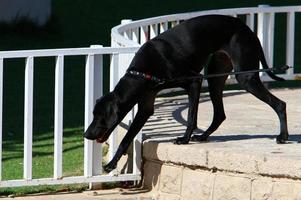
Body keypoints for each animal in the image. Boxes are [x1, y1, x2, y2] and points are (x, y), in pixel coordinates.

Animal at [83, 15, 288, 172]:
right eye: (94, 114)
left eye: (99, 116)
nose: (86, 134)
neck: (142, 72)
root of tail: (247, 29)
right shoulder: (146, 106)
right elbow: (126, 139)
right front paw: (111, 164)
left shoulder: (194, 81)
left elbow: (191, 117)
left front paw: (184, 139)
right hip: (216, 76)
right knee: (220, 114)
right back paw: (204, 136)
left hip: (245, 77)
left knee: (280, 104)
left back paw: (283, 136)